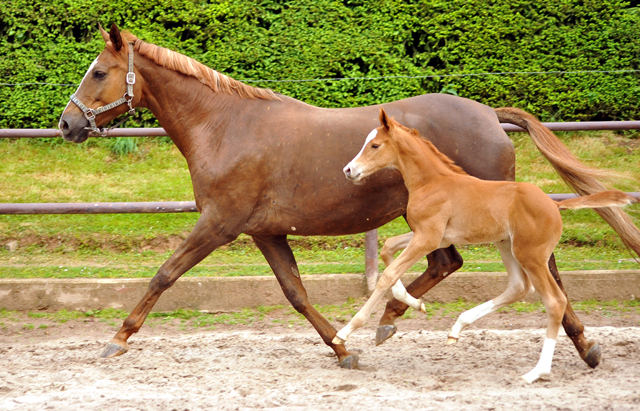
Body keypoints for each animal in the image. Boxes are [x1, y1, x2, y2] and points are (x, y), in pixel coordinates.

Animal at [336, 108, 636, 384]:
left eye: (375, 145)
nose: (349, 170)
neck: (433, 182)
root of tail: (555, 204)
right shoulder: (434, 236)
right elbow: (387, 248)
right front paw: (416, 304)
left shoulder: (428, 237)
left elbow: (387, 275)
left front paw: (346, 331)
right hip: (507, 246)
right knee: (518, 287)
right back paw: (457, 328)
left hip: (530, 256)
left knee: (554, 300)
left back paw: (536, 372)